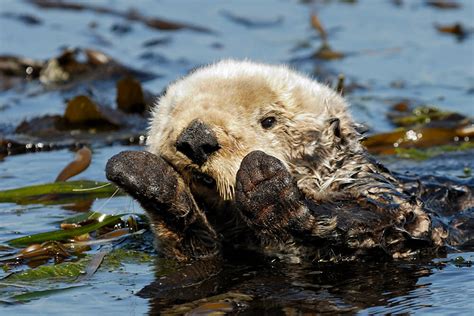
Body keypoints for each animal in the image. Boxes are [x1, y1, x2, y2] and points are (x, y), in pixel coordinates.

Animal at [105, 60, 472, 262]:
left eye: (269, 120)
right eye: (172, 115)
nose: (196, 139)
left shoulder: (378, 194)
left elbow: (386, 219)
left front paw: (264, 182)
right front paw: (151, 179)